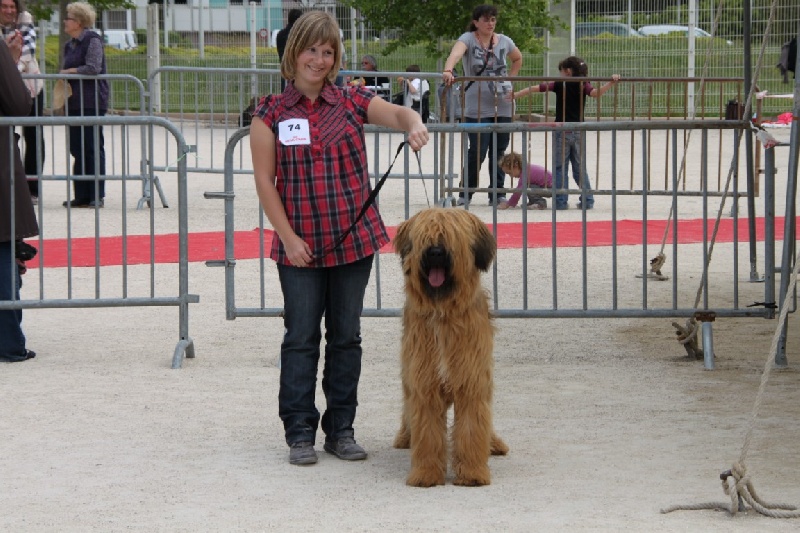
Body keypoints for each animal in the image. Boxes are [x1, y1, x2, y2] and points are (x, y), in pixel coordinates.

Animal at [392, 208, 510, 486]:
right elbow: (427, 432)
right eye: (425, 236)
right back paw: (405, 437)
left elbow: (472, 429)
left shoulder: (472, 381)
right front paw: (425, 474)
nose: (435, 252)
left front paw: (473, 473)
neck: (442, 311)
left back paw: (493, 443)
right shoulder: (423, 382)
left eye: (451, 236)